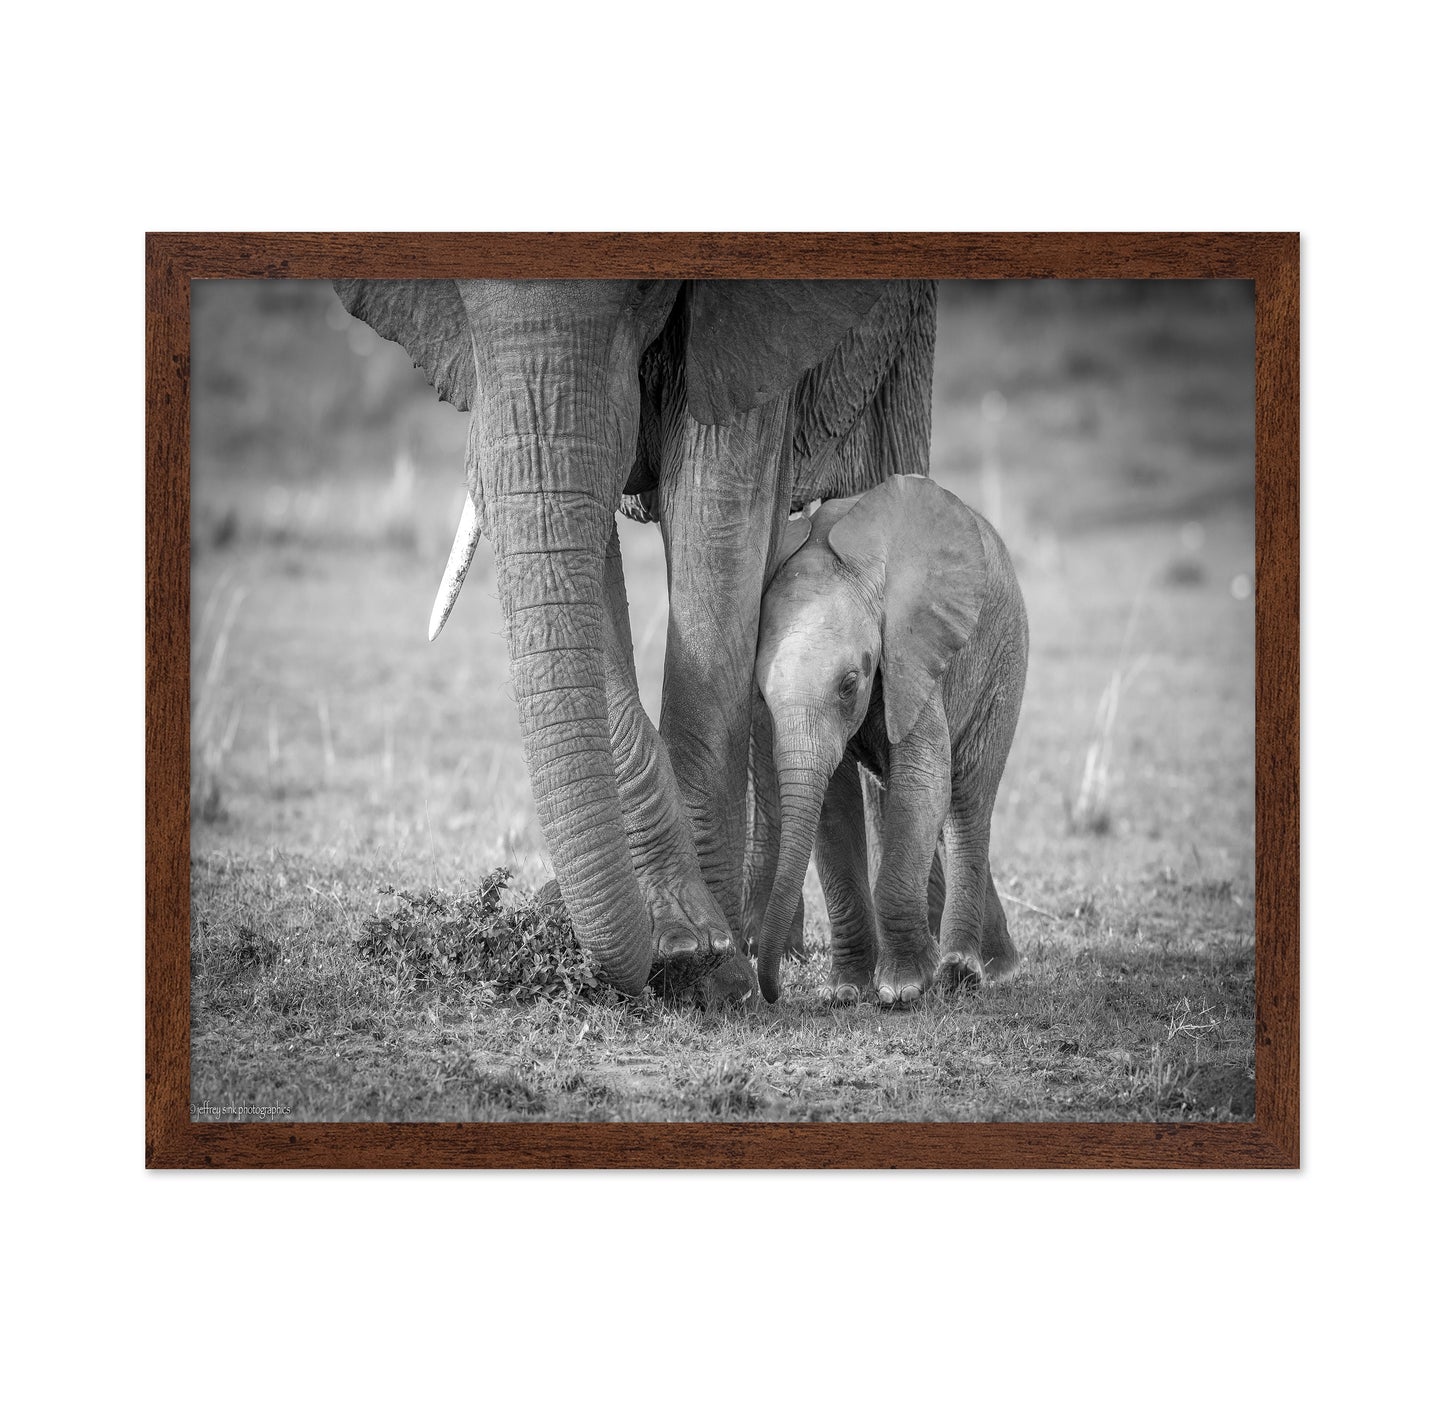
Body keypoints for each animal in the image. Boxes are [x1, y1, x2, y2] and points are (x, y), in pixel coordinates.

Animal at [751, 475, 1028, 1005]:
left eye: (849, 684)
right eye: (760, 692)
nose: (771, 994)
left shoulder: (912, 655)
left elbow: (923, 782)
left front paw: (902, 990)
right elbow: (834, 807)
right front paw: (845, 992)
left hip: (1004, 658)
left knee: (966, 800)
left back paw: (964, 972)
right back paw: (997, 966)